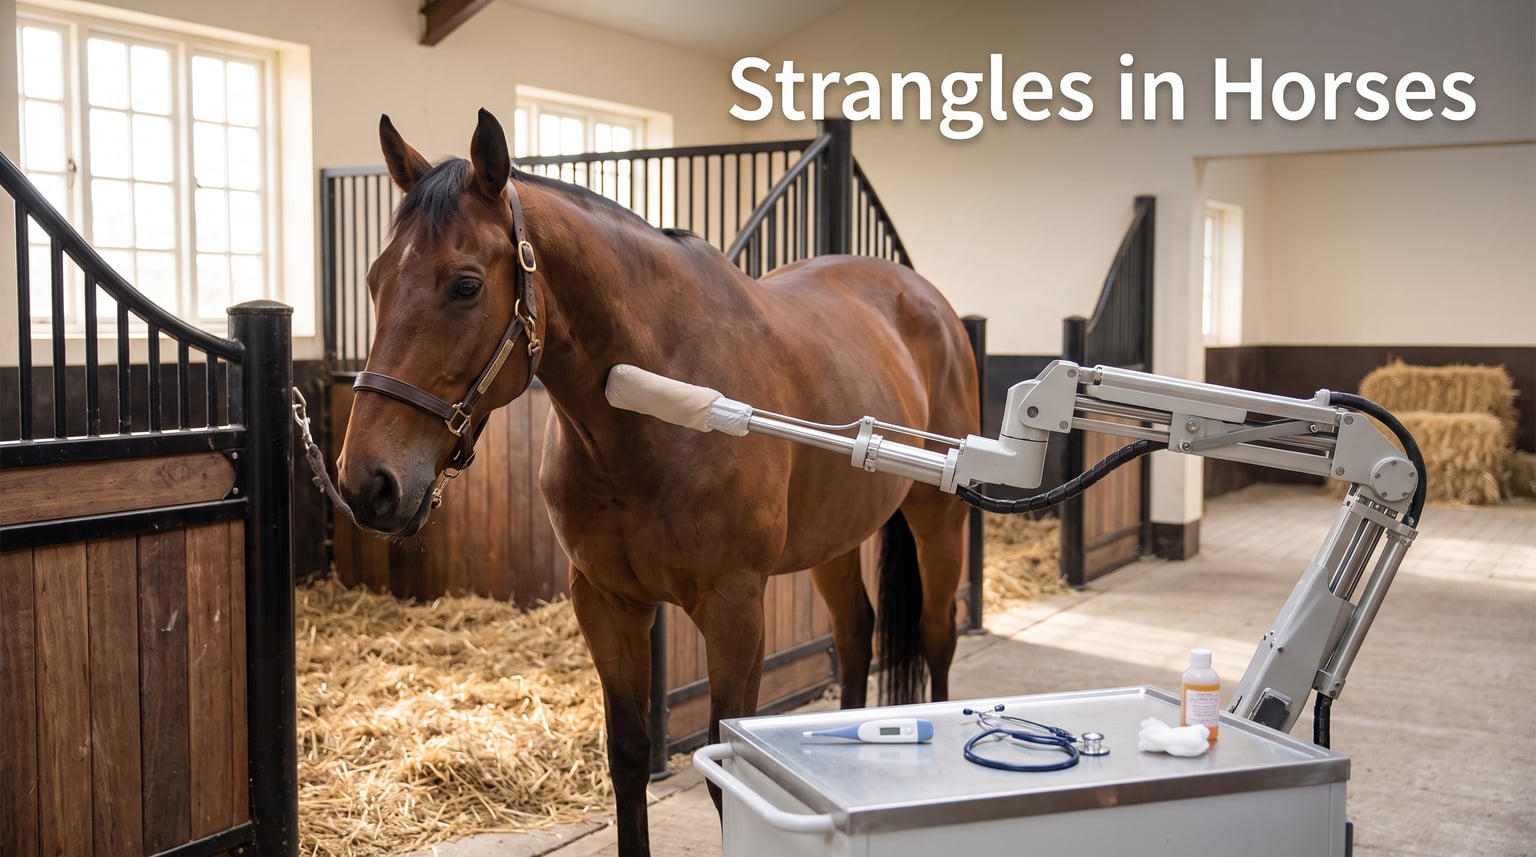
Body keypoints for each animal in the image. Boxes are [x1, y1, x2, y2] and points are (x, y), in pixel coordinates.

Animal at [336, 109, 980, 856]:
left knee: (937, 635)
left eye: (465, 284)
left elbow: (728, 782)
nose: (368, 483)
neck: (662, 407)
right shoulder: (607, 602)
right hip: (835, 539)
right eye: (375, 279)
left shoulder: (734, 609)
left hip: (938, 519)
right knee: (855, 636)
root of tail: (927, 300)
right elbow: (627, 756)